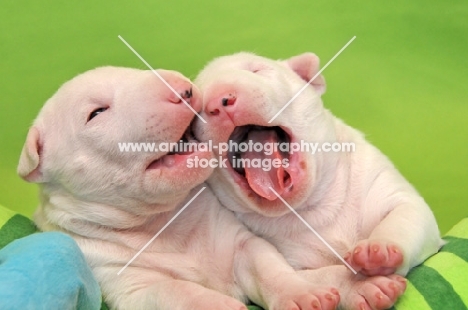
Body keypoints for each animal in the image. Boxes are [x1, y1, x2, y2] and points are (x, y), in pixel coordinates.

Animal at [18, 67, 340, 310]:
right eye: (96, 113)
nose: (183, 89)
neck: (164, 222)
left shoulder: (239, 241)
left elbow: (266, 264)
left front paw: (302, 295)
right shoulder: (125, 283)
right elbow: (175, 291)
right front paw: (218, 305)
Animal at [192, 53, 444, 310]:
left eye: (256, 70)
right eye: (196, 103)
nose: (220, 100)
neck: (313, 206)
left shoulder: (385, 186)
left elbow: (405, 215)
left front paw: (377, 250)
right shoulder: (285, 259)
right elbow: (318, 276)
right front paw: (362, 286)